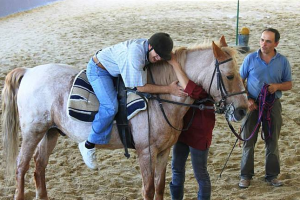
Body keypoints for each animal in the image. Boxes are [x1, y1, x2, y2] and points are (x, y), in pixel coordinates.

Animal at [1, 36, 247, 200]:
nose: (244, 110)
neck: (160, 99)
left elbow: (159, 187)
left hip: (50, 132)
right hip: (33, 132)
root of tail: (29, 72)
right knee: (21, 166)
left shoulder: (164, 152)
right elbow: (148, 189)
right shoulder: (146, 152)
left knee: (39, 166)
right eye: (230, 76)